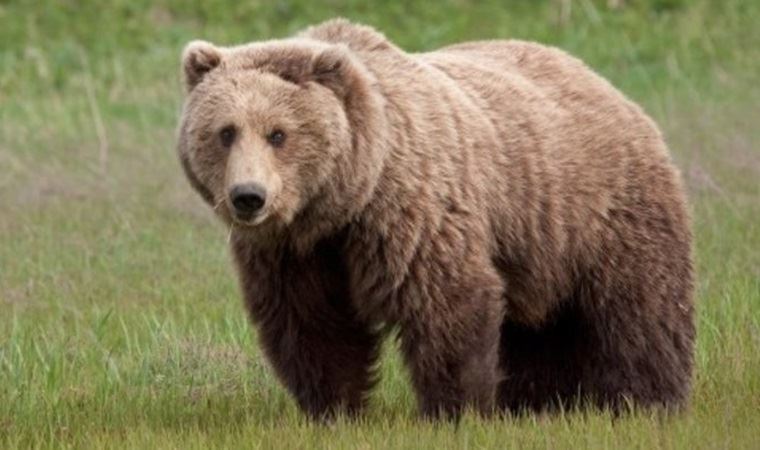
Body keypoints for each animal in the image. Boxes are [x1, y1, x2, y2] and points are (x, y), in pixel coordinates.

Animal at [177, 16, 696, 418]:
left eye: (278, 134)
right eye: (225, 132)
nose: (248, 197)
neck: (343, 203)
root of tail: (604, 83)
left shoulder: (411, 214)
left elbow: (445, 303)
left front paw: (455, 409)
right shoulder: (295, 254)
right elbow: (312, 323)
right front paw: (334, 408)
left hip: (601, 211)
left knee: (640, 309)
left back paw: (647, 399)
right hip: (536, 242)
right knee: (538, 327)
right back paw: (537, 402)